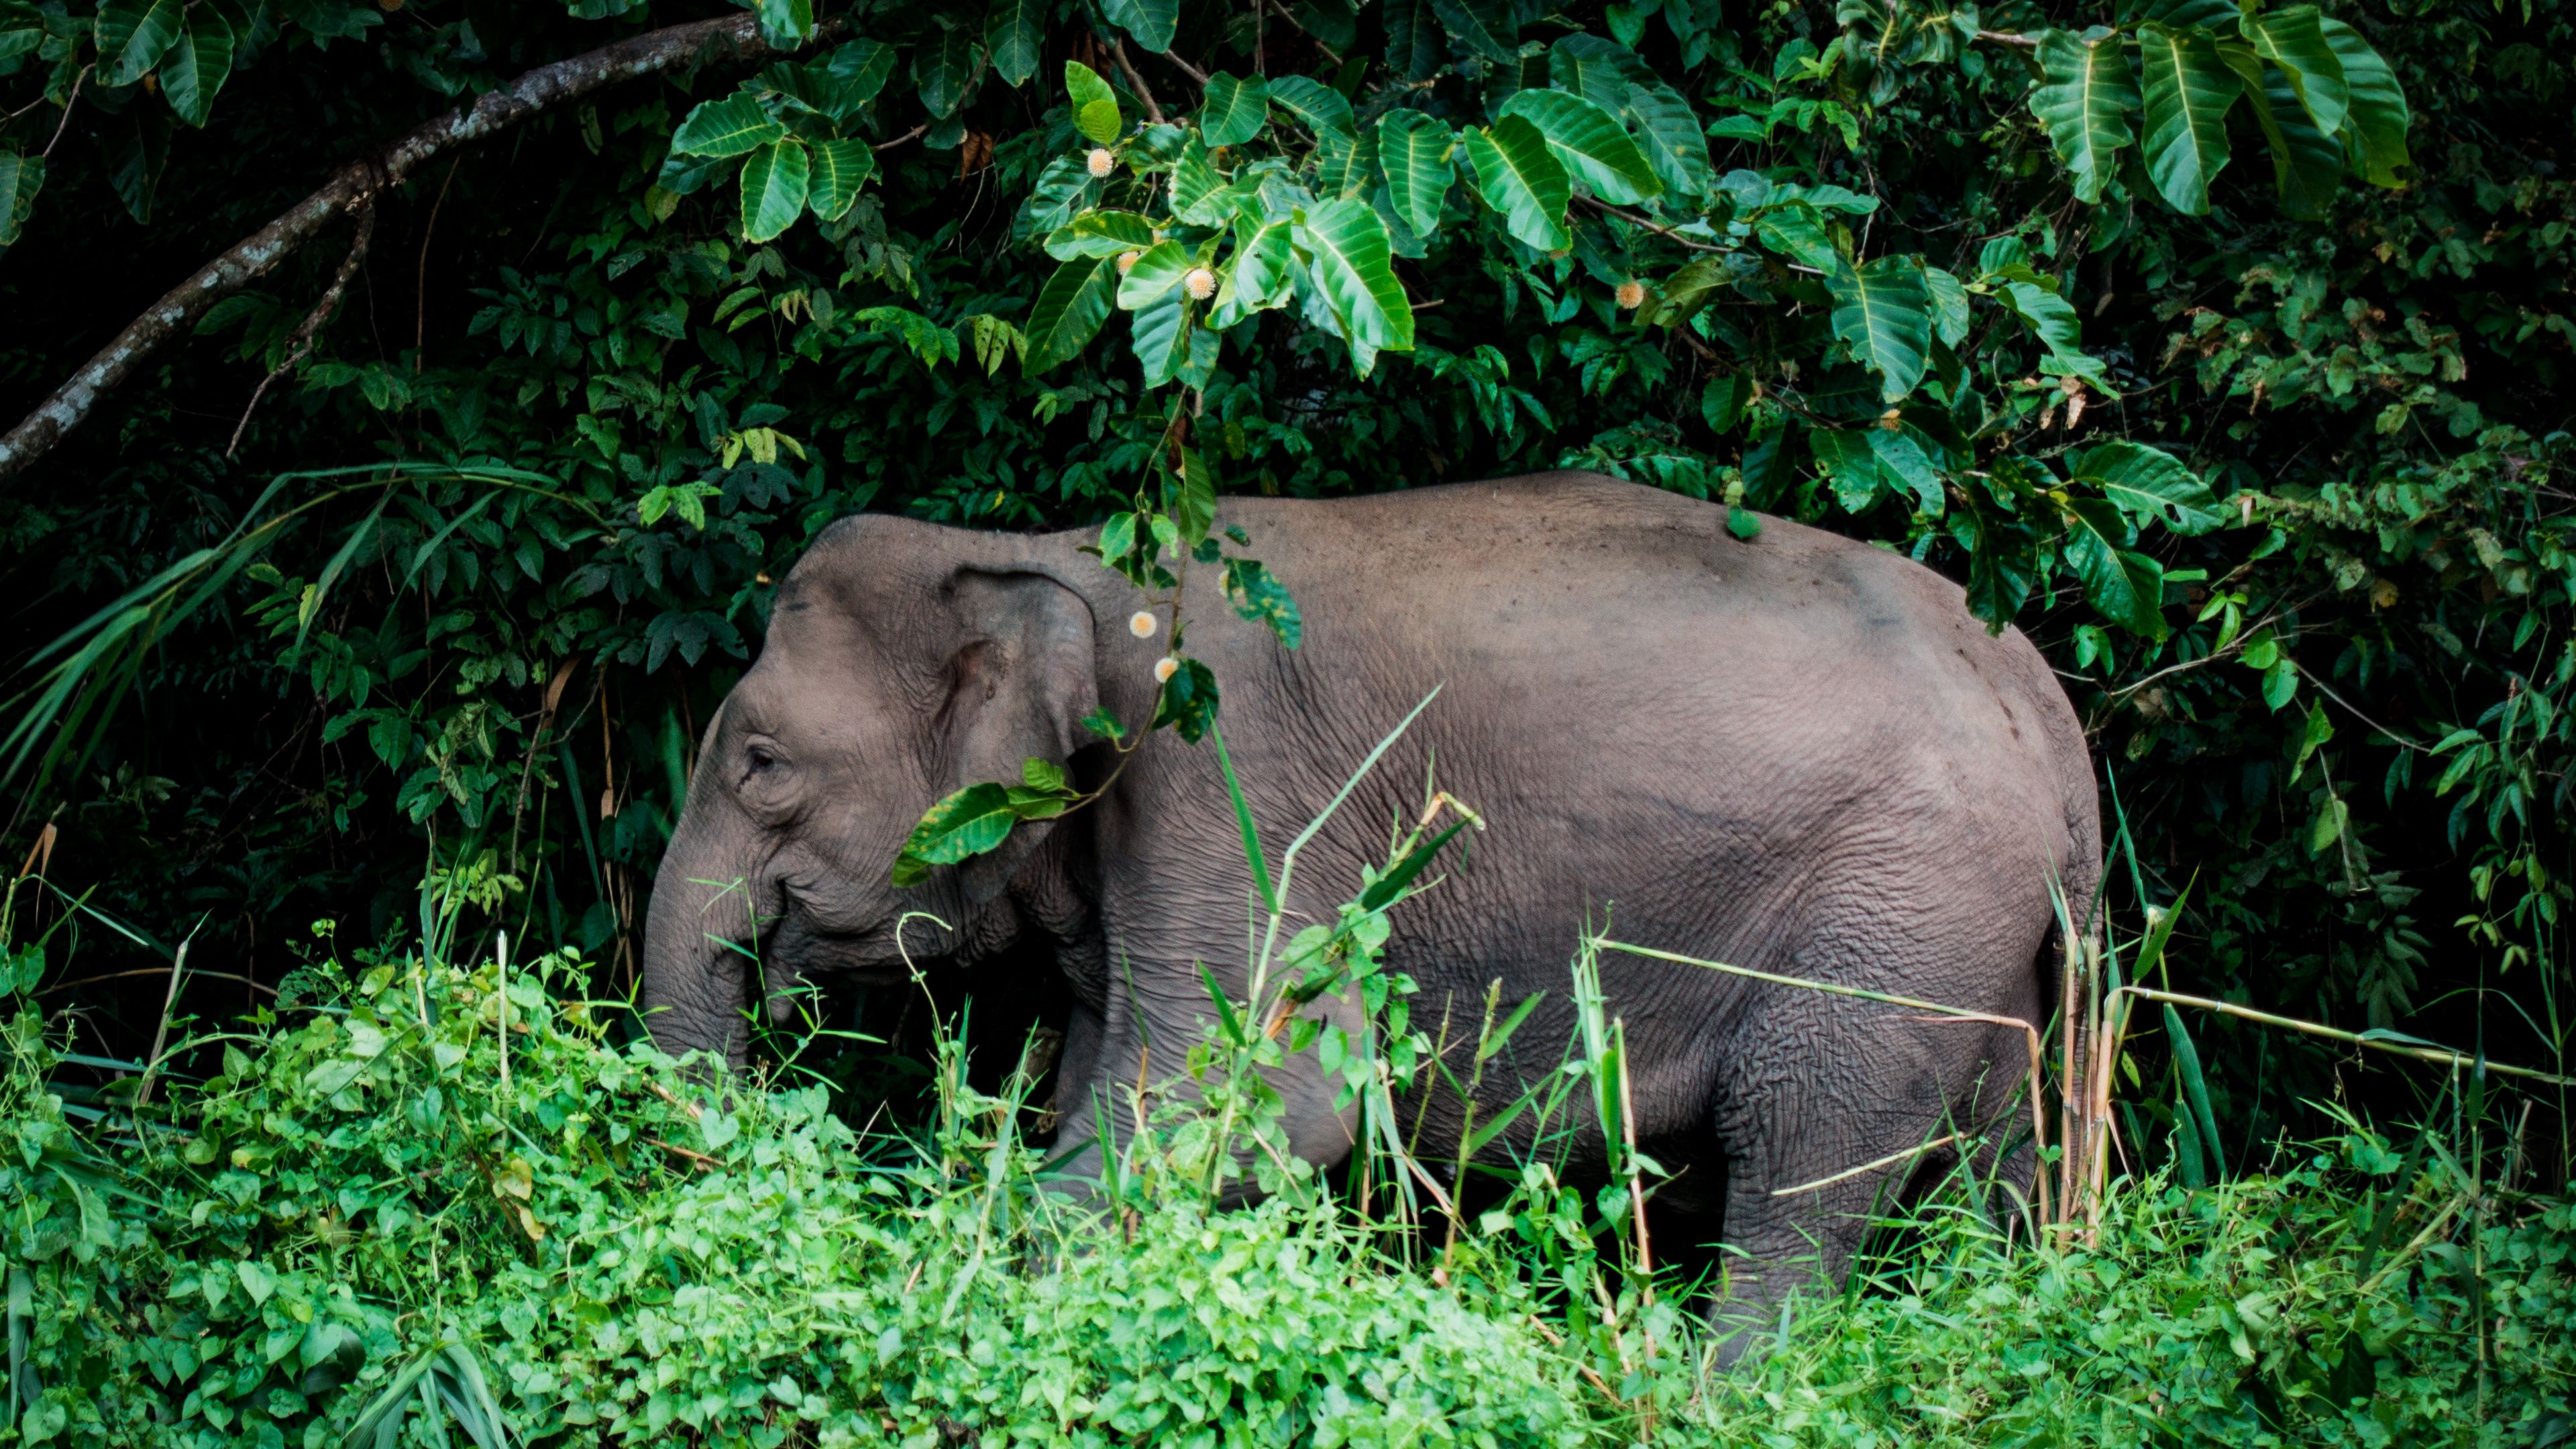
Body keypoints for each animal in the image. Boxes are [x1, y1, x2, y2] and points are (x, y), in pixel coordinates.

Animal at [639, 469, 2092, 1340]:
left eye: (761, 763)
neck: (1043, 555)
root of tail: (2047, 710)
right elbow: (1118, 1085)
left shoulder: (1231, 788)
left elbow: (1259, 1104)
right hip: (1977, 942)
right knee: (1988, 1159)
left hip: (1895, 916)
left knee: (1801, 1156)